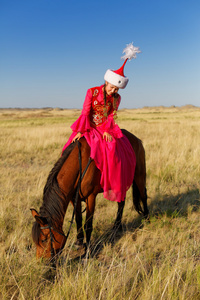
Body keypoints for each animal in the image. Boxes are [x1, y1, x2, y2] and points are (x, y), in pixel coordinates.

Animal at [30, 129, 148, 260]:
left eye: (44, 240)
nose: (41, 262)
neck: (79, 164)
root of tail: (137, 139)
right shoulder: (73, 198)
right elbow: (78, 219)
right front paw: (79, 242)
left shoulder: (91, 197)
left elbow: (88, 224)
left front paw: (87, 251)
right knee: (121, 203)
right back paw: (117, 226)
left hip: (139, 175)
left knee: (143, 195)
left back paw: (146, 218)